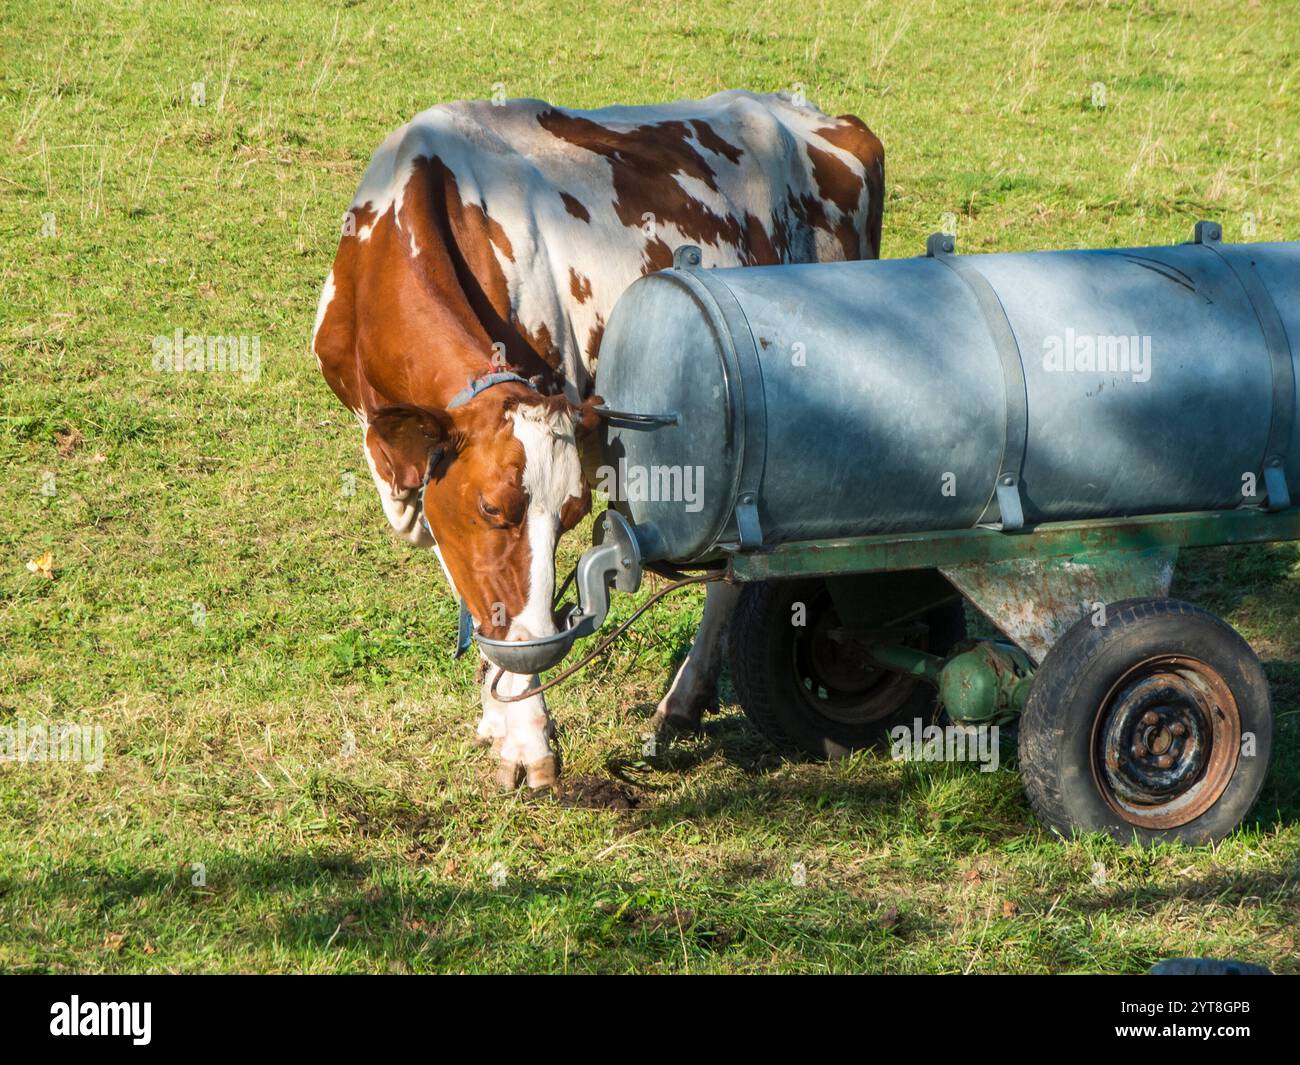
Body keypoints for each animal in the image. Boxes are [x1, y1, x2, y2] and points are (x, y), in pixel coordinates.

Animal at [313, 89, 883, 790]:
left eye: (572, 515)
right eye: (490, 509)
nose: (539, 651)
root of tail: (820, 115)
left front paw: (526, 738)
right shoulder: (419, 475)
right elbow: (475, 589)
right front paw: (496, 714)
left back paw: (682, 700)